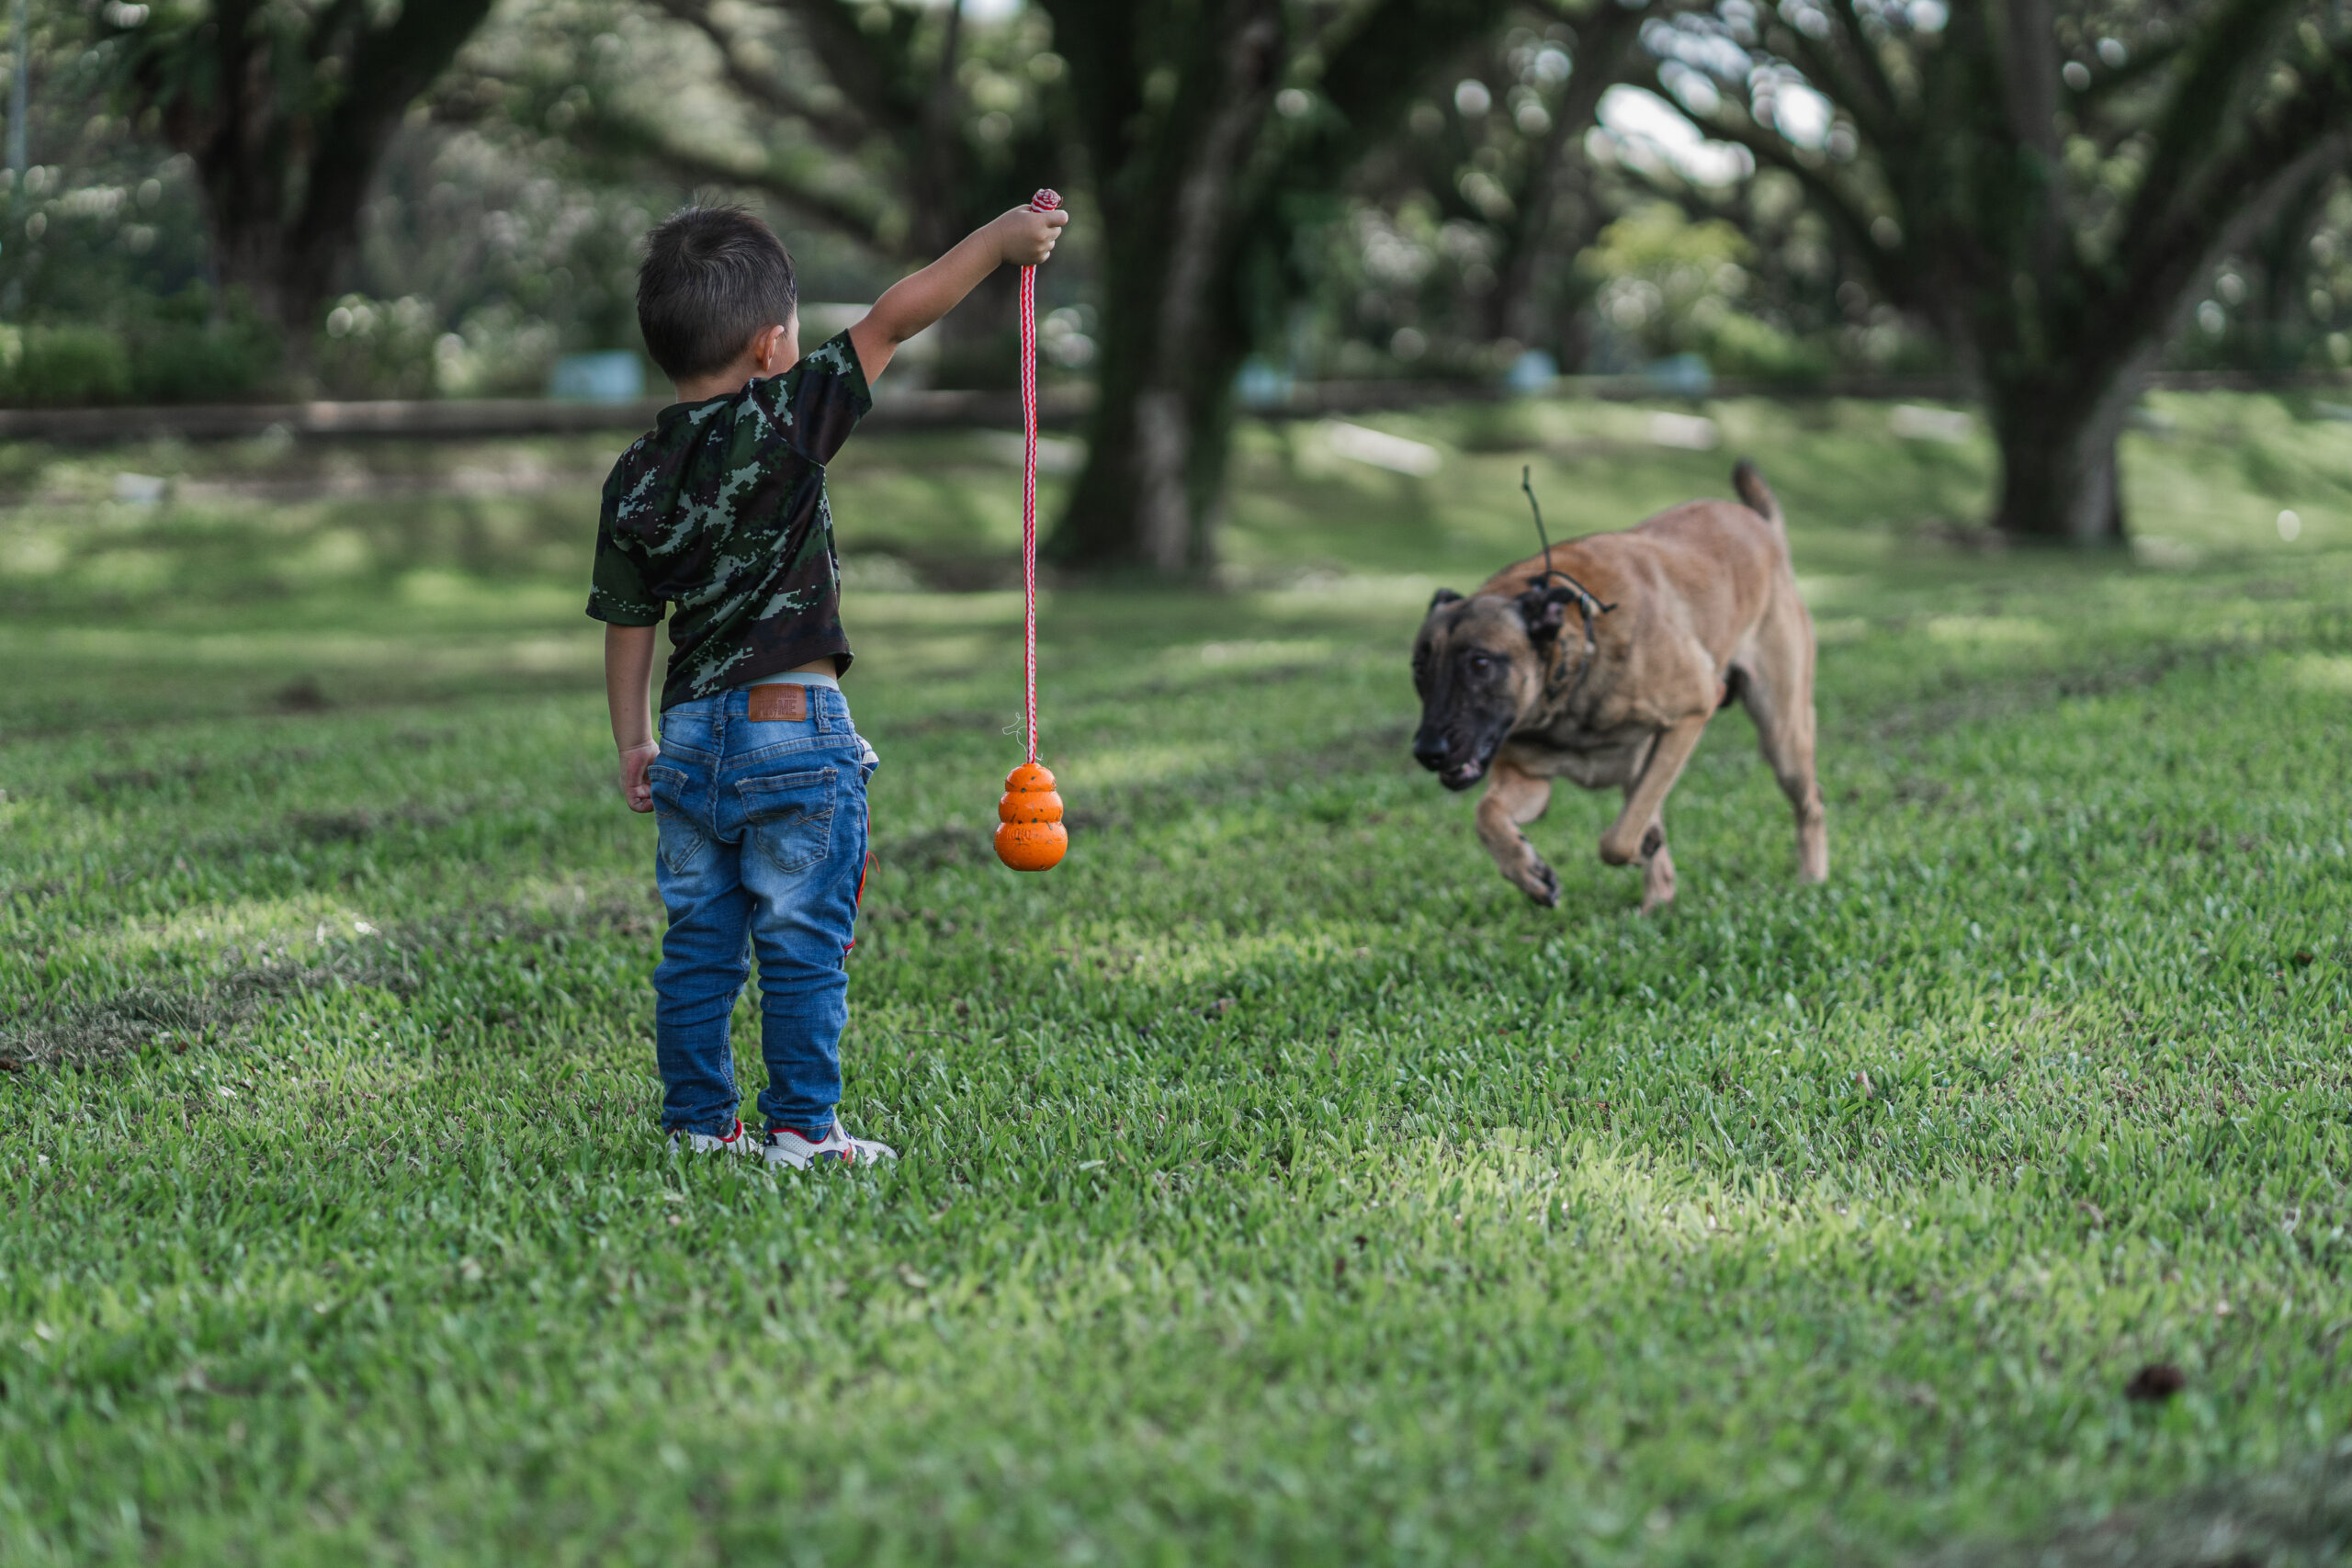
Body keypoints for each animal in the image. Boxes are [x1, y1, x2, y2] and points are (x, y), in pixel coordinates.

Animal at [1401, 460, 1825, 911]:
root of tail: (1762, 526)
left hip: (1781, 734)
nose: (1427, 751)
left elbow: (1617, 840)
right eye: (1420, 668)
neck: (1576, 664)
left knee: (1810, 803)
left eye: (1480, 663)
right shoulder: (1528, 778)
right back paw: (1655, 905)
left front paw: (1639, 846)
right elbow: (1487, 814)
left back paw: (1812, 879)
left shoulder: (1691, 711)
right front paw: (1528, 871)